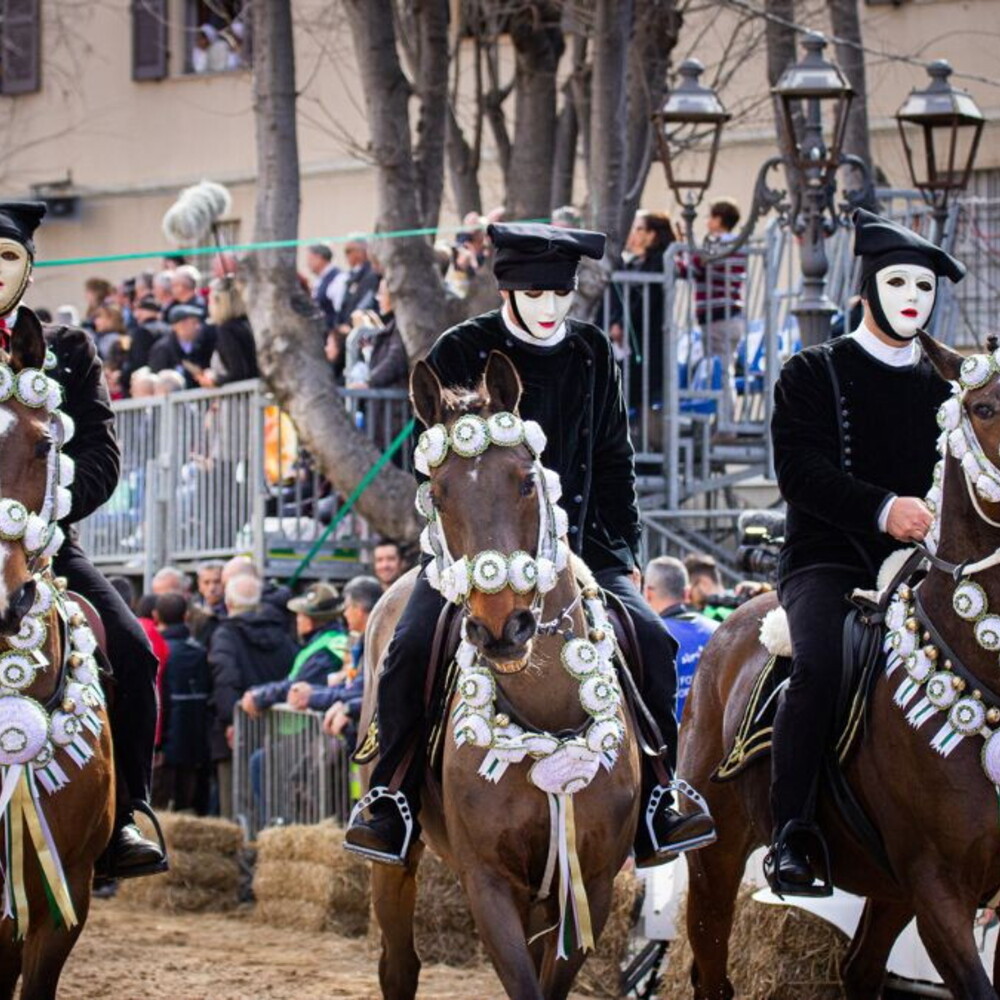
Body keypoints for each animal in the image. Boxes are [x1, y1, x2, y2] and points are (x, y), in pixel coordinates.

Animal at [360, 354, 640, 1000]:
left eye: (525, 480)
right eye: (437, 494)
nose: (500, 628)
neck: (546, 716)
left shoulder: (591, 885)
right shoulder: (487, 883)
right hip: (394, 866)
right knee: (399, 964)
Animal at [680, 330, 1000, 1000]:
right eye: (983, 408)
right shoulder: (940, 892)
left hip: (888, 886)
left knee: (859, 969)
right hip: (716, 859)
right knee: (714, 973)